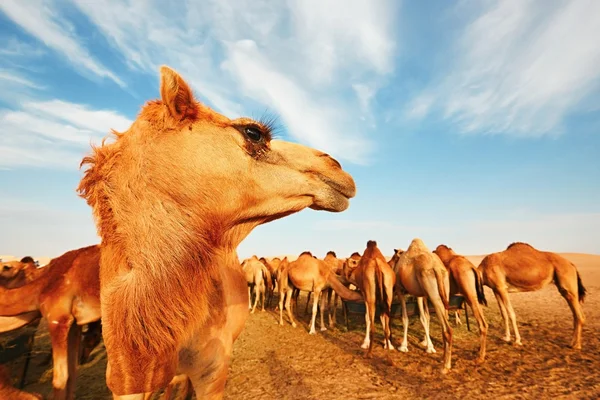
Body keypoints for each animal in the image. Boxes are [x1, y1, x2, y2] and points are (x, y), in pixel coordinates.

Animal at [392, 239, 452, 374]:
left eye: (394, 257)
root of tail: (436, 267)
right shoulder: (419, 294)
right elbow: (424, 318)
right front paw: (429, 346)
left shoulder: (400, 290)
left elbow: (405, 318)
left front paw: (403, 346)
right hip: (445, 289)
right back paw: (443, 359)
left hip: (432, 291)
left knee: (447, 329)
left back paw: (445, 367)